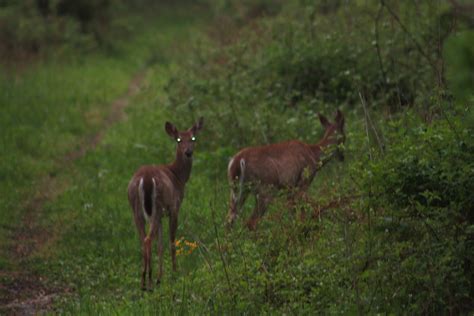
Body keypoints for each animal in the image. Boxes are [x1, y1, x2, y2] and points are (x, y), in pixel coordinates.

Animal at [128, 116, 204, 288]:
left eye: (193, 138)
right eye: (178, 139)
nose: (188, 152)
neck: (178, 177)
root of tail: (145, 178)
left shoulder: (162, 215)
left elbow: (161, 245)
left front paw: (160, 277)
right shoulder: (174, 208)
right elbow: (171, 241)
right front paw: (174, 272)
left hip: (137, 209)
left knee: (143, 240)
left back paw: (143, 281)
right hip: (156, 206)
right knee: (148, 239)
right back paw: (148, 281)